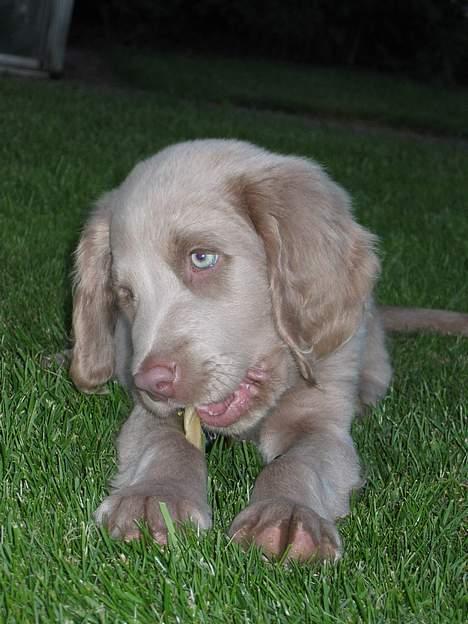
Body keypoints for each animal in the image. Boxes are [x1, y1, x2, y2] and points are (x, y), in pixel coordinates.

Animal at [67, 140, 466, 560]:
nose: (150, 383)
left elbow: (296, 463)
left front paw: (287, 515)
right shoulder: (152, 415)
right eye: (125, 294)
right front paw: (154, 499)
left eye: (201, 257)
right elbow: (167, 443)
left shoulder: (322, 419)